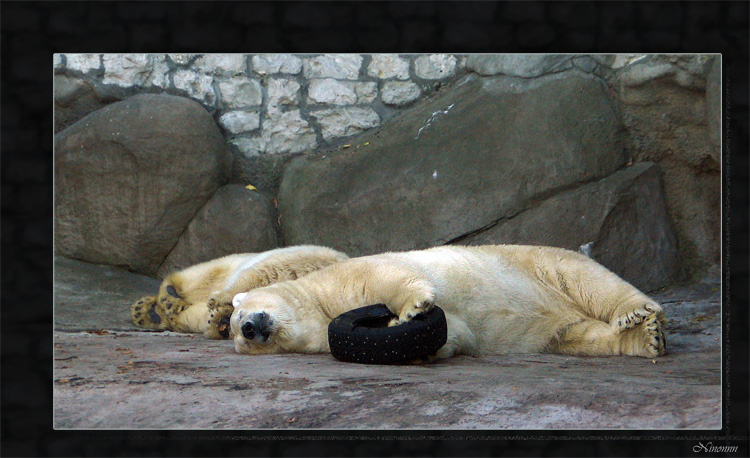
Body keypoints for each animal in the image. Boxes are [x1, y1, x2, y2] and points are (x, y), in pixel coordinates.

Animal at [130, 245, 349, 339]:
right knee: (203, 276)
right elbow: (261, 274)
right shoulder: (300, 263)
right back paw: (167, 297)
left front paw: (221, 321)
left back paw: (151, 313)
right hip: (231, 263)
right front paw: (219, 302)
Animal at [230, 245, 667, 359]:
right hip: (559, 326)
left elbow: (387, 277)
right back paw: (644, 340)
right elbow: (452, 333)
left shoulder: (343, 278)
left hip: (539, 264)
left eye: (237, 316)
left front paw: (409, 309)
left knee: (590, 280)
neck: (319, 307)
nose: (250, 328)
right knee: (579, 335)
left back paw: (637, 311)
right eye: (237, 335)